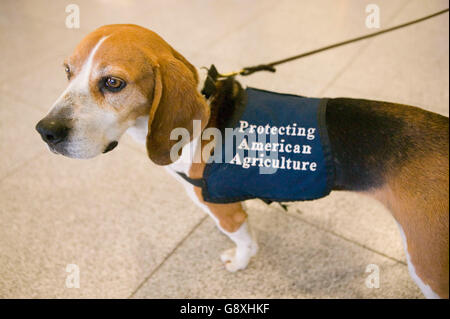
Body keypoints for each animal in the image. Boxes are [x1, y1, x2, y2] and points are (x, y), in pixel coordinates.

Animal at [36, 25, 450, 300]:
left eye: (113, 83)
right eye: (67, 72)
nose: (44, 131)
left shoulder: (225, 209)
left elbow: (243, 239)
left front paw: (239, 261)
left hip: (428, 264)